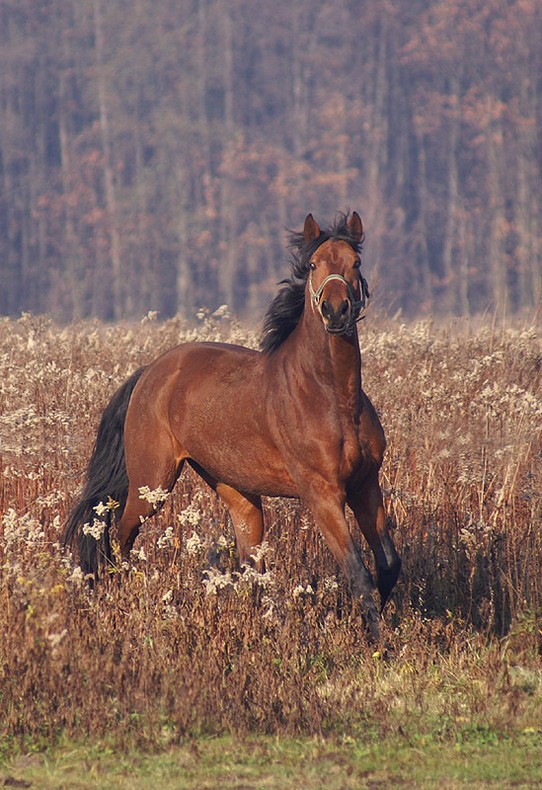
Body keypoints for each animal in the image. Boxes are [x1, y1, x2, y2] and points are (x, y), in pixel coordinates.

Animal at [65, 213, 404, 640]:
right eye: (313, 265)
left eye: (355, 263)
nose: (336, 311)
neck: (333, 398)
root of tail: (150, 372)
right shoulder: (323, 494)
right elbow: (358, 573)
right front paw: (377, 642)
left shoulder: (365, 484)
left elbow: (388, 564)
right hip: (152, 483)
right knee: (119, 539)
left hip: (236, 490)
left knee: (250, 567)